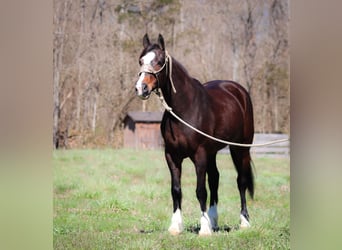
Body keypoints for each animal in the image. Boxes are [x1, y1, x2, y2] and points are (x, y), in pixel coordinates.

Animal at [135, 34, 255, 235]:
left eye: (159, 61)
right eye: (141, 61)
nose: (140, 88)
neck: (186, 109)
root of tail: (239, 91)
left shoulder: (199, 155)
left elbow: (200, 190)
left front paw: (204, 229)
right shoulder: (172, 156)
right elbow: (176, 190)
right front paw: (175, 226)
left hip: (240, 148)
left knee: (241, 181)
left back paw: (244, 221)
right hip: (212, 152)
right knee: (215, 178)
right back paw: (214, 220)